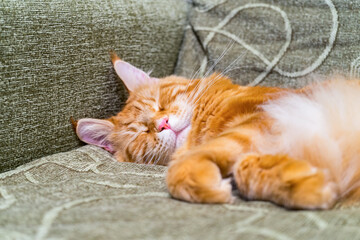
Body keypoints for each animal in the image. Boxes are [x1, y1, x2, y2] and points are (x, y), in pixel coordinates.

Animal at [74, 52, 360, 208]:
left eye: (160, 104)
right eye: (142, 132)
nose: (163, 123)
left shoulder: (265, 115)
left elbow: (185, 169)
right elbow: (245, 167)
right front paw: (308, 182)